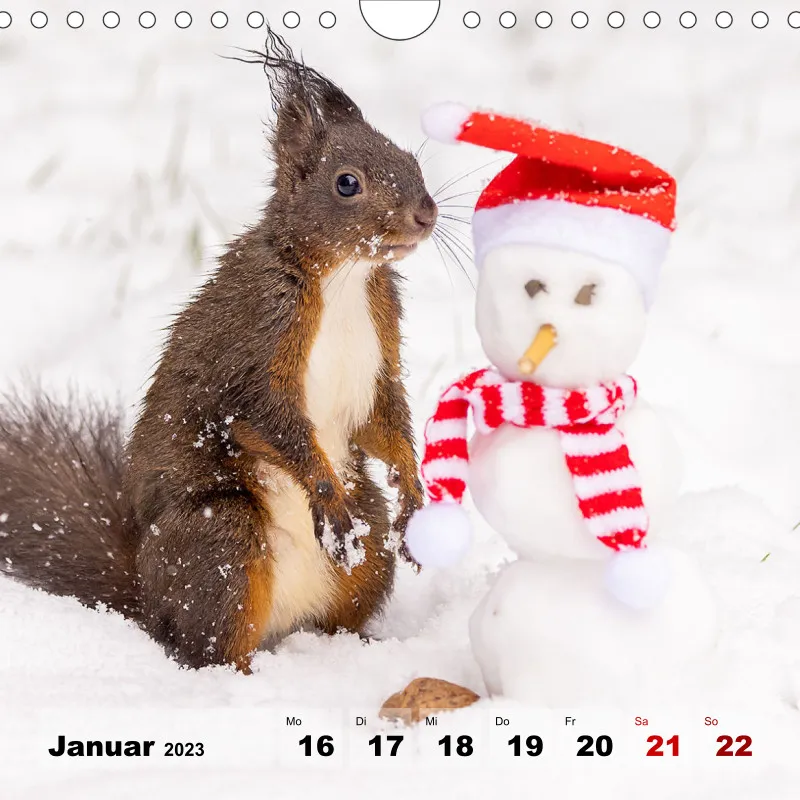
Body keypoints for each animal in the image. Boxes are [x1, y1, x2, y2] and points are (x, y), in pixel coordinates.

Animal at [0, 31, 436, 672]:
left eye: (411, 160)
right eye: (347, 182)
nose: (426, 214)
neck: (344, 278)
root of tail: (148, 592)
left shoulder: (381, 345)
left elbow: (384, 418)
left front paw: (413, 489)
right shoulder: (254, 342)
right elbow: (269, 421)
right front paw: (325, 493)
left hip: (369, 547)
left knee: (348, 591)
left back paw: (361, 647)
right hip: (221, 543)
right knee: (208, 642)